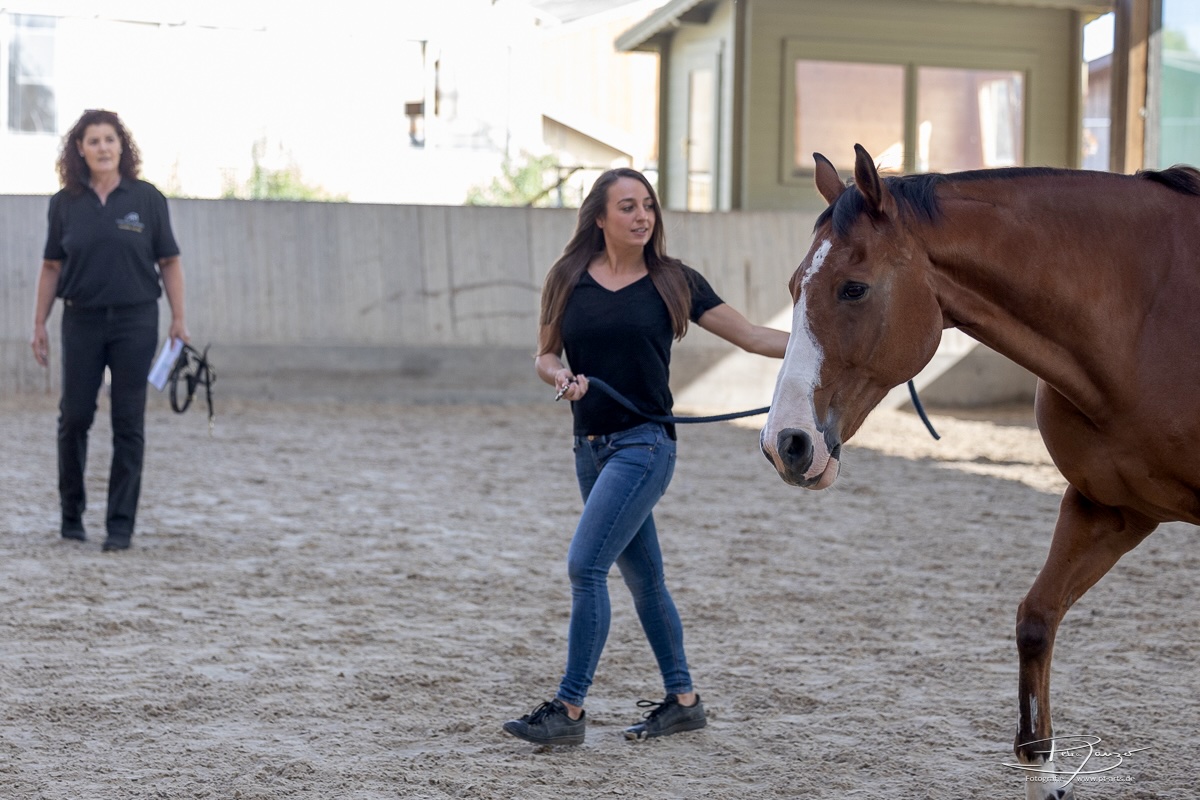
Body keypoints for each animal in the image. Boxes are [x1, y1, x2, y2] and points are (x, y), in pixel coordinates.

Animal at [758, 145, 1200, 800]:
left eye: (853, 288)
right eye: (793, 287)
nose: (785, 443)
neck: (1148, 313)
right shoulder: (1110, 509)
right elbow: (1037, 621)